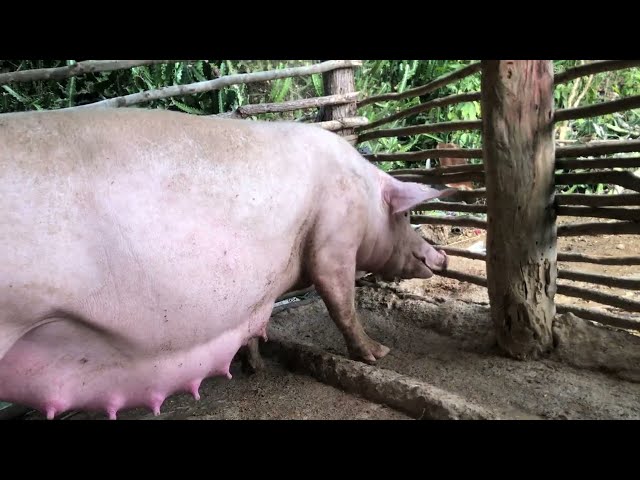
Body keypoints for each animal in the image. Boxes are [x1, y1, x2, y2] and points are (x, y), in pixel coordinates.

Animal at [0, 107, 450, 418]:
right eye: (405, 216)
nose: (442, 257)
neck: (363, 194)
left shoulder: (258, 290)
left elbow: (253, 323)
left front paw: (253, 367)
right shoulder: (333, 240)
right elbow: (341, 302)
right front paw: (379, 354)